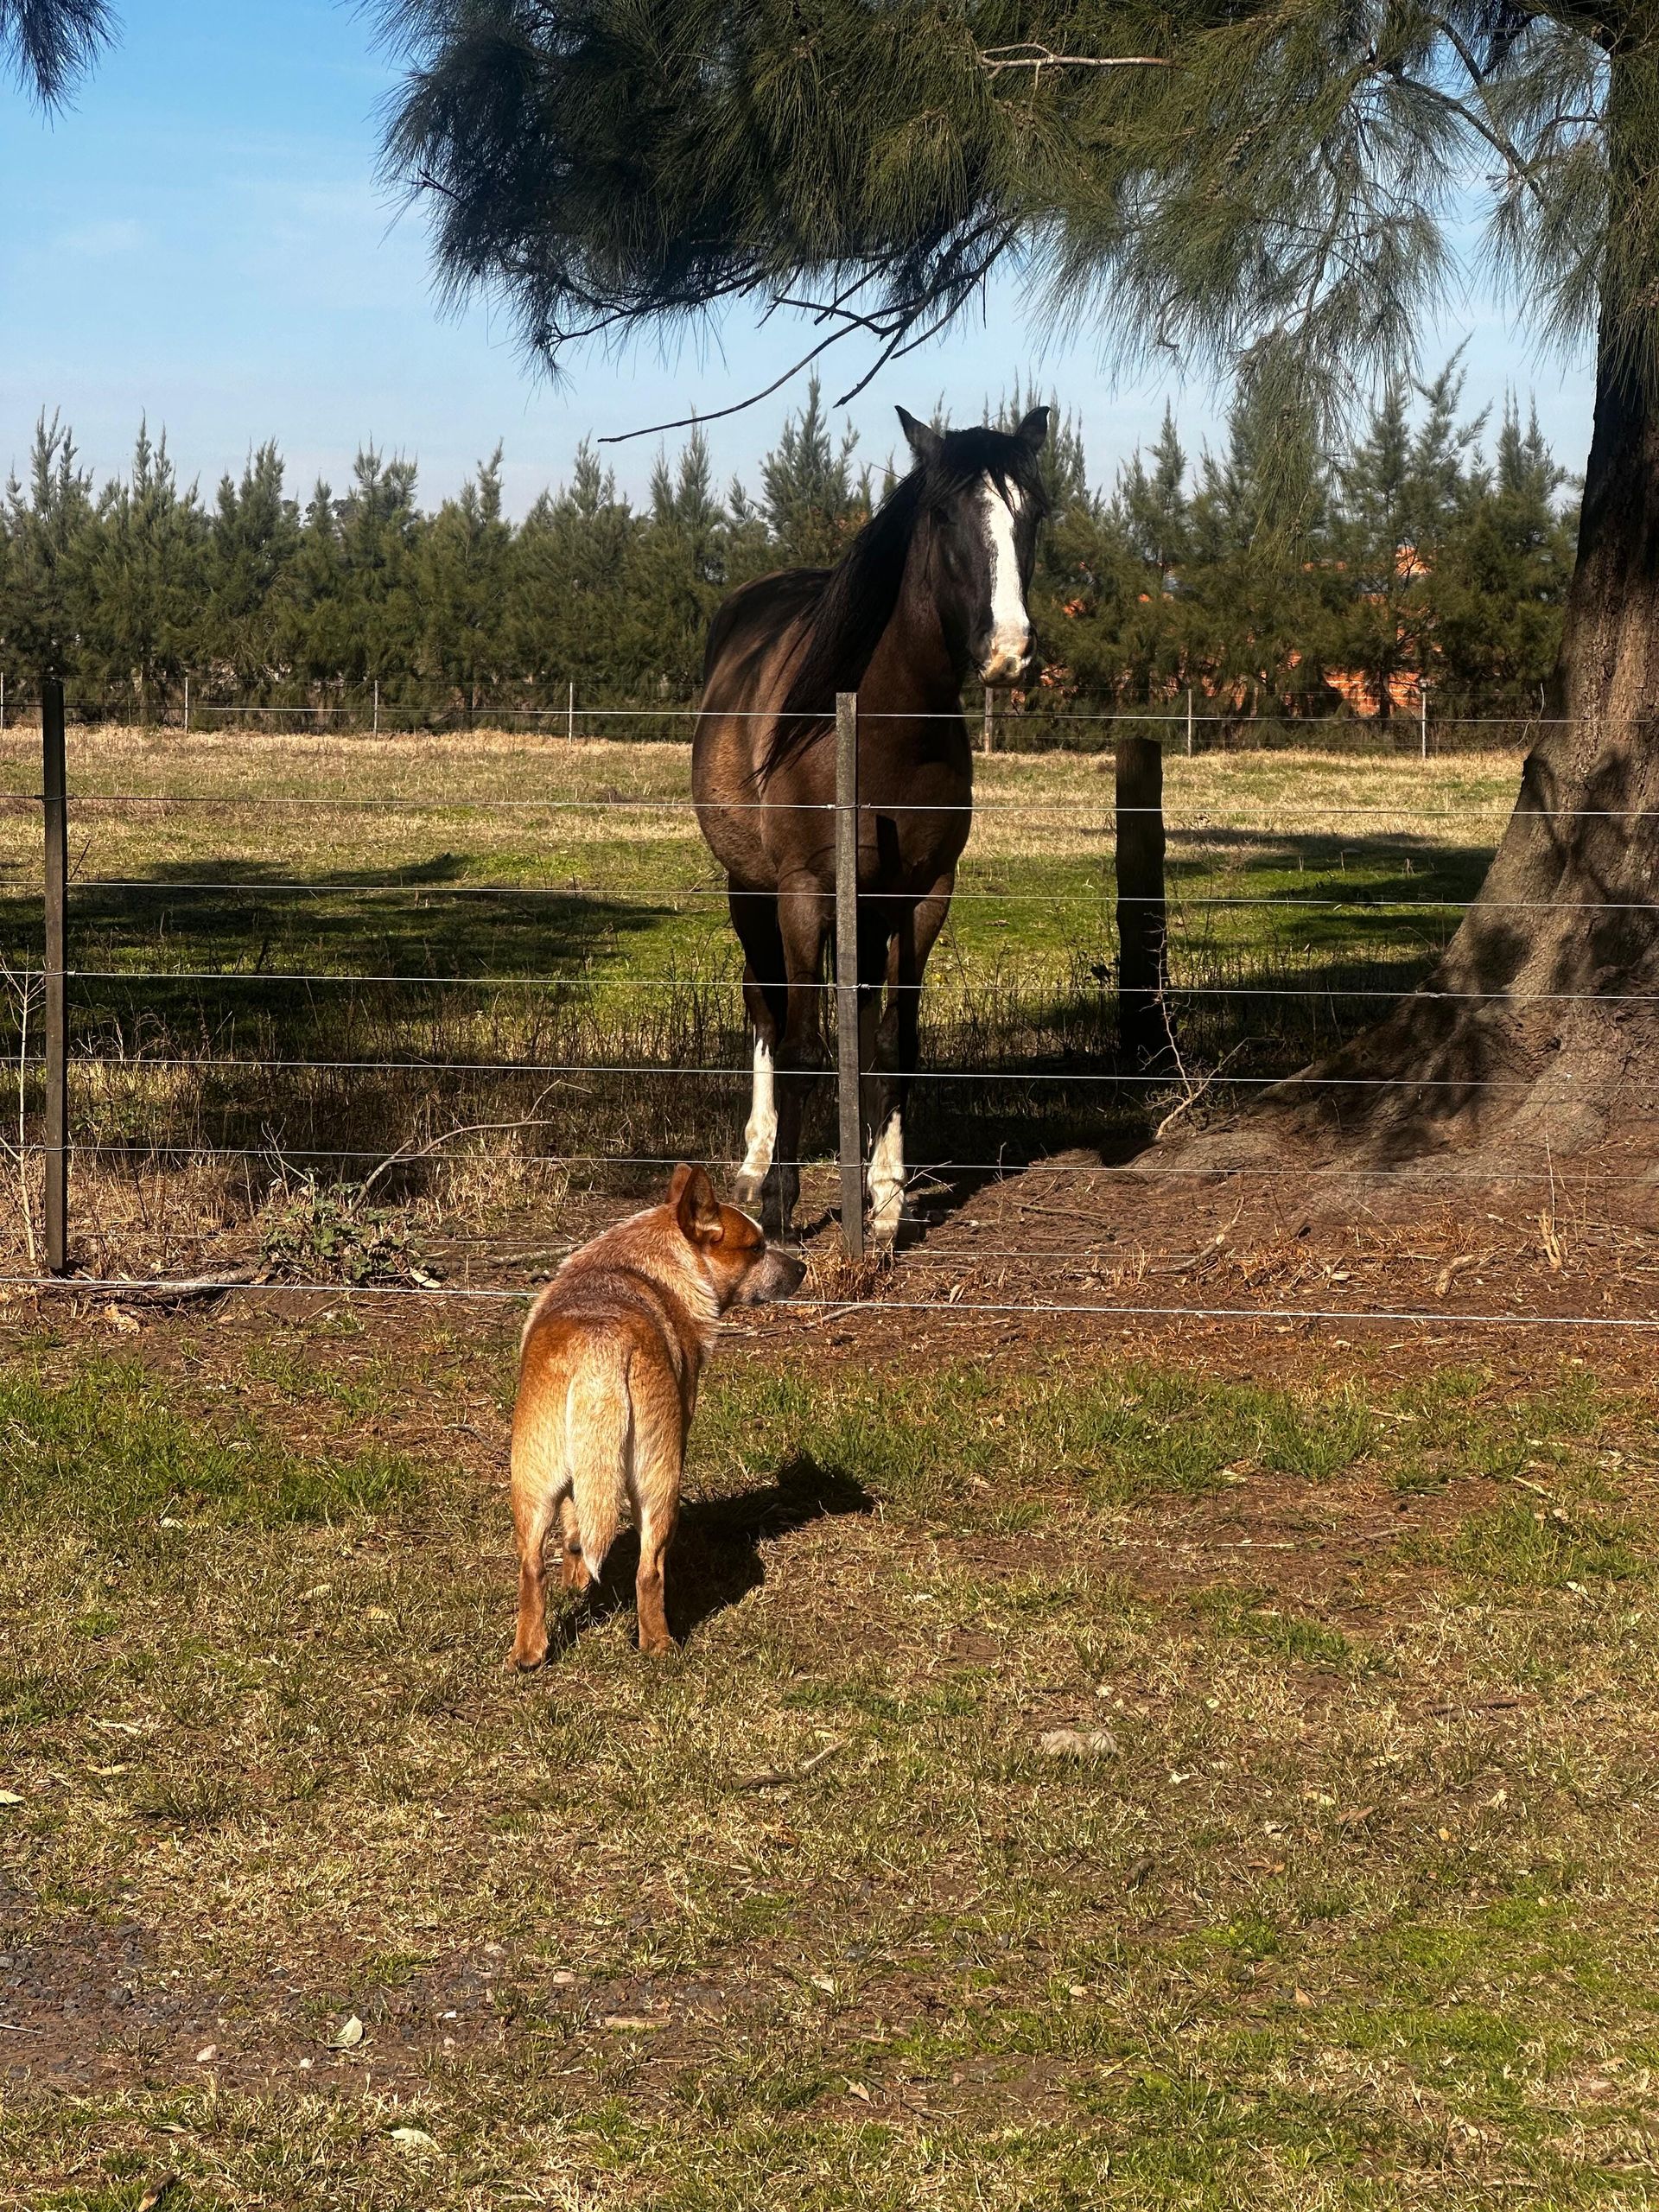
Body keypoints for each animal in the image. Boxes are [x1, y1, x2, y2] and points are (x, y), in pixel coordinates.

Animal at [692, 404, 1049, 1243]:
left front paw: (886, 1200)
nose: (1009, 652)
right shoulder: (803, 893)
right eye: (945, 514)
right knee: (764, 1005)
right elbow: (800, 1042)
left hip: (867, 910)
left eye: (1037, 514)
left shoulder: (923, 897)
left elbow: (892, 1040)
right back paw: (756, 1161)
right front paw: (784, 1205)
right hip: (749, 890)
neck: (882, 728)